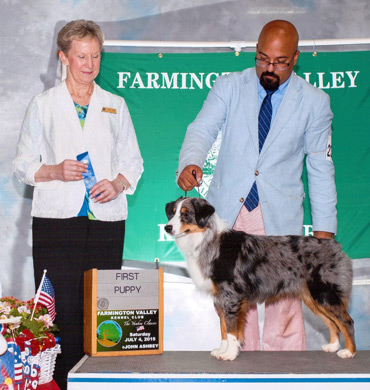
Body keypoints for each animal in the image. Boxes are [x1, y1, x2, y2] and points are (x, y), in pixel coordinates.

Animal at [165, 198, 356, 362]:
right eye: (172, 213)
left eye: (186, 213)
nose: (167, 227)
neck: (207, 241)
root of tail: (334, 245)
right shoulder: (220, 299)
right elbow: (223, 329)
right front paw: (221, 350)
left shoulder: (232, 296)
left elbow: (232, 330)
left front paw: (229, 354)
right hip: (312, 298)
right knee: (332, 322)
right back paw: (332, 346)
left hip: (324, 293)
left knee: (346, 321)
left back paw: (349, 352)